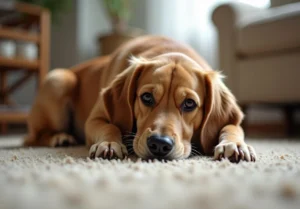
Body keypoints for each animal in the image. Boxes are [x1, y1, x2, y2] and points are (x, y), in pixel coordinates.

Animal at [24, 35, 256, 162]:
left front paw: (235, 145)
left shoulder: (231, 122)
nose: (160, 144)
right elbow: (110, 126)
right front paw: (109, 143)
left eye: (189, 103)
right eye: (146, 97)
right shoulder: (95, 120)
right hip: (58, 79)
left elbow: (232, 128)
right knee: (34, 137)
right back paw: (60, 137)